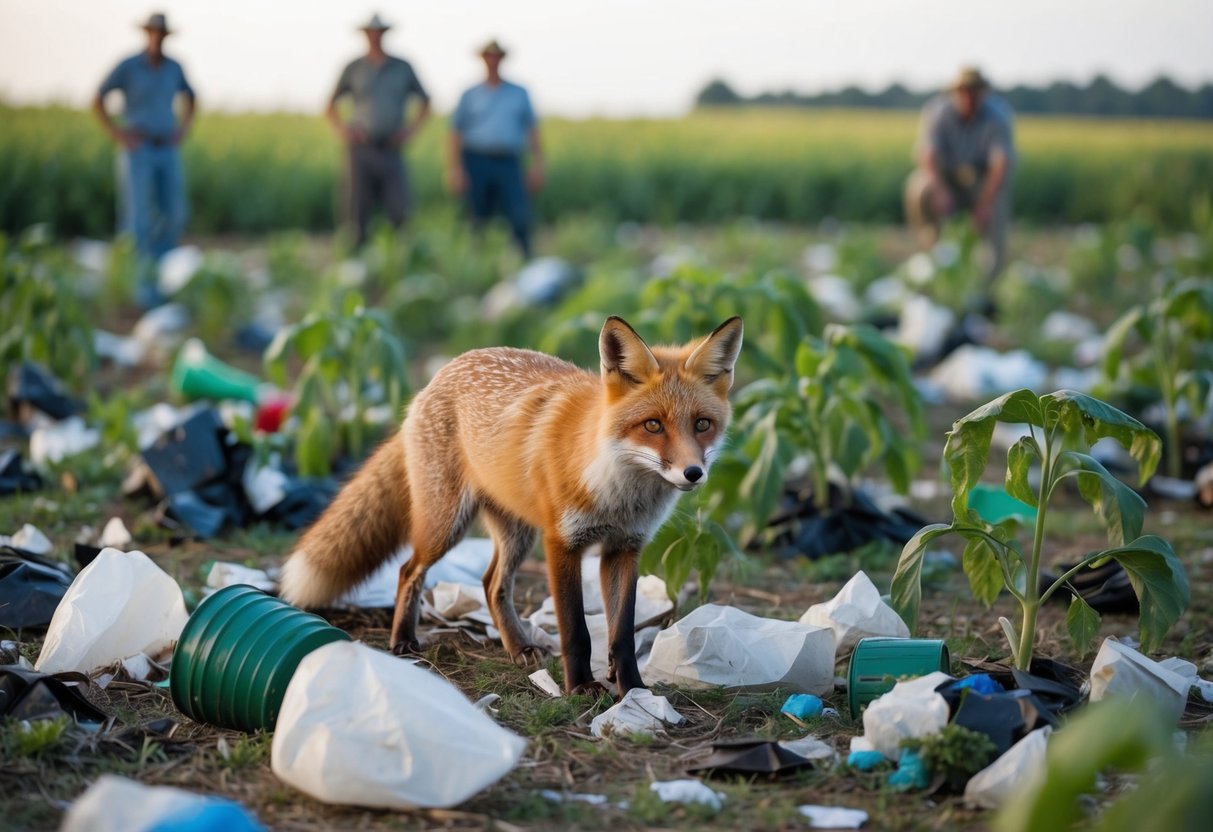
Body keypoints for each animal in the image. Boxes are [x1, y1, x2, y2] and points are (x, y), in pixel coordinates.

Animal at [280, 315, 743, 695]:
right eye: (653, 425)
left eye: (702, 424)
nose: (692, 473)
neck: (617, 493)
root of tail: (438, 376)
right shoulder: (562, 543)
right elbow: (577, 631)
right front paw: (581, 688)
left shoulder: (624, 549)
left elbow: (622, 635)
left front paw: (632, 689)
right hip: (447, 525)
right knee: (409, 570)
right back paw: (403, 640)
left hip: (517, 532)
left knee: (490, 583)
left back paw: (518, 646)